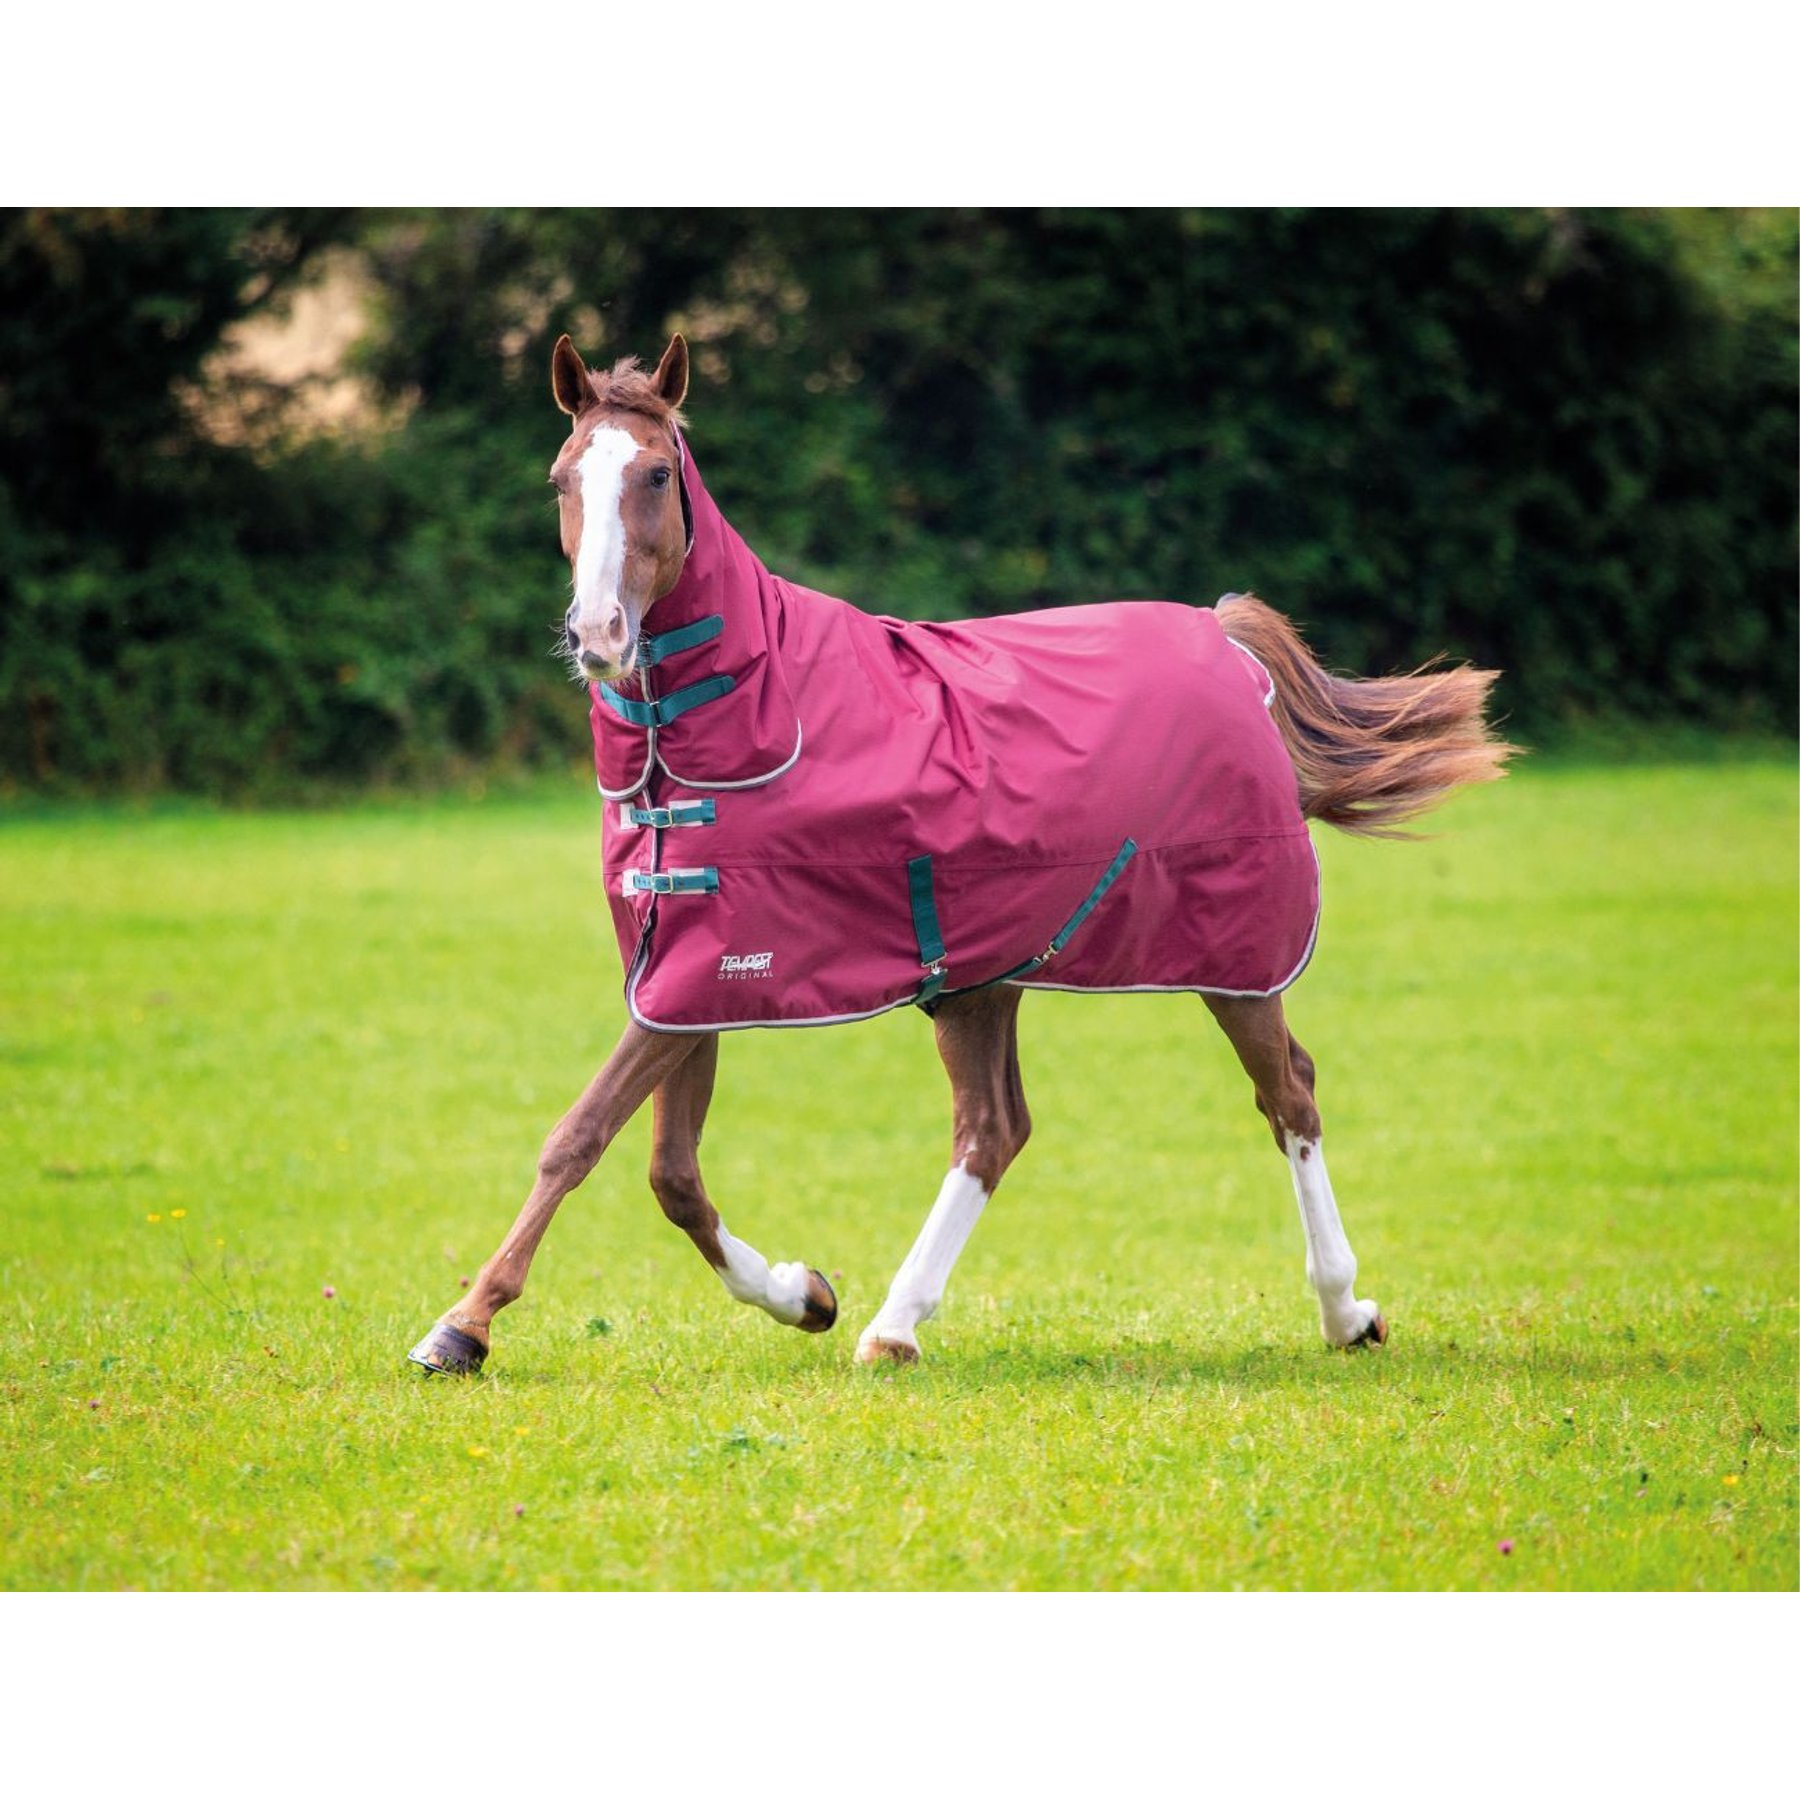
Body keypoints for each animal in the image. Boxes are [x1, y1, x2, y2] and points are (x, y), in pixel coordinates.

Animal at [407, 331, 1512, 1377]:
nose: (598, 634)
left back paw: (1345, 1311)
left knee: (1288, 1093)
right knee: (994, 1128)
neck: (744, 719)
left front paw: (460, 1327)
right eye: (561, 477)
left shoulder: (703, 972)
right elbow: (671, 1174)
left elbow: (580, 1138)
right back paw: (892, 1327)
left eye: (653, 474)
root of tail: (1227, 640)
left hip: (1232, 960)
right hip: (986, 977)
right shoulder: (685, 970)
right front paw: (805, 1294)